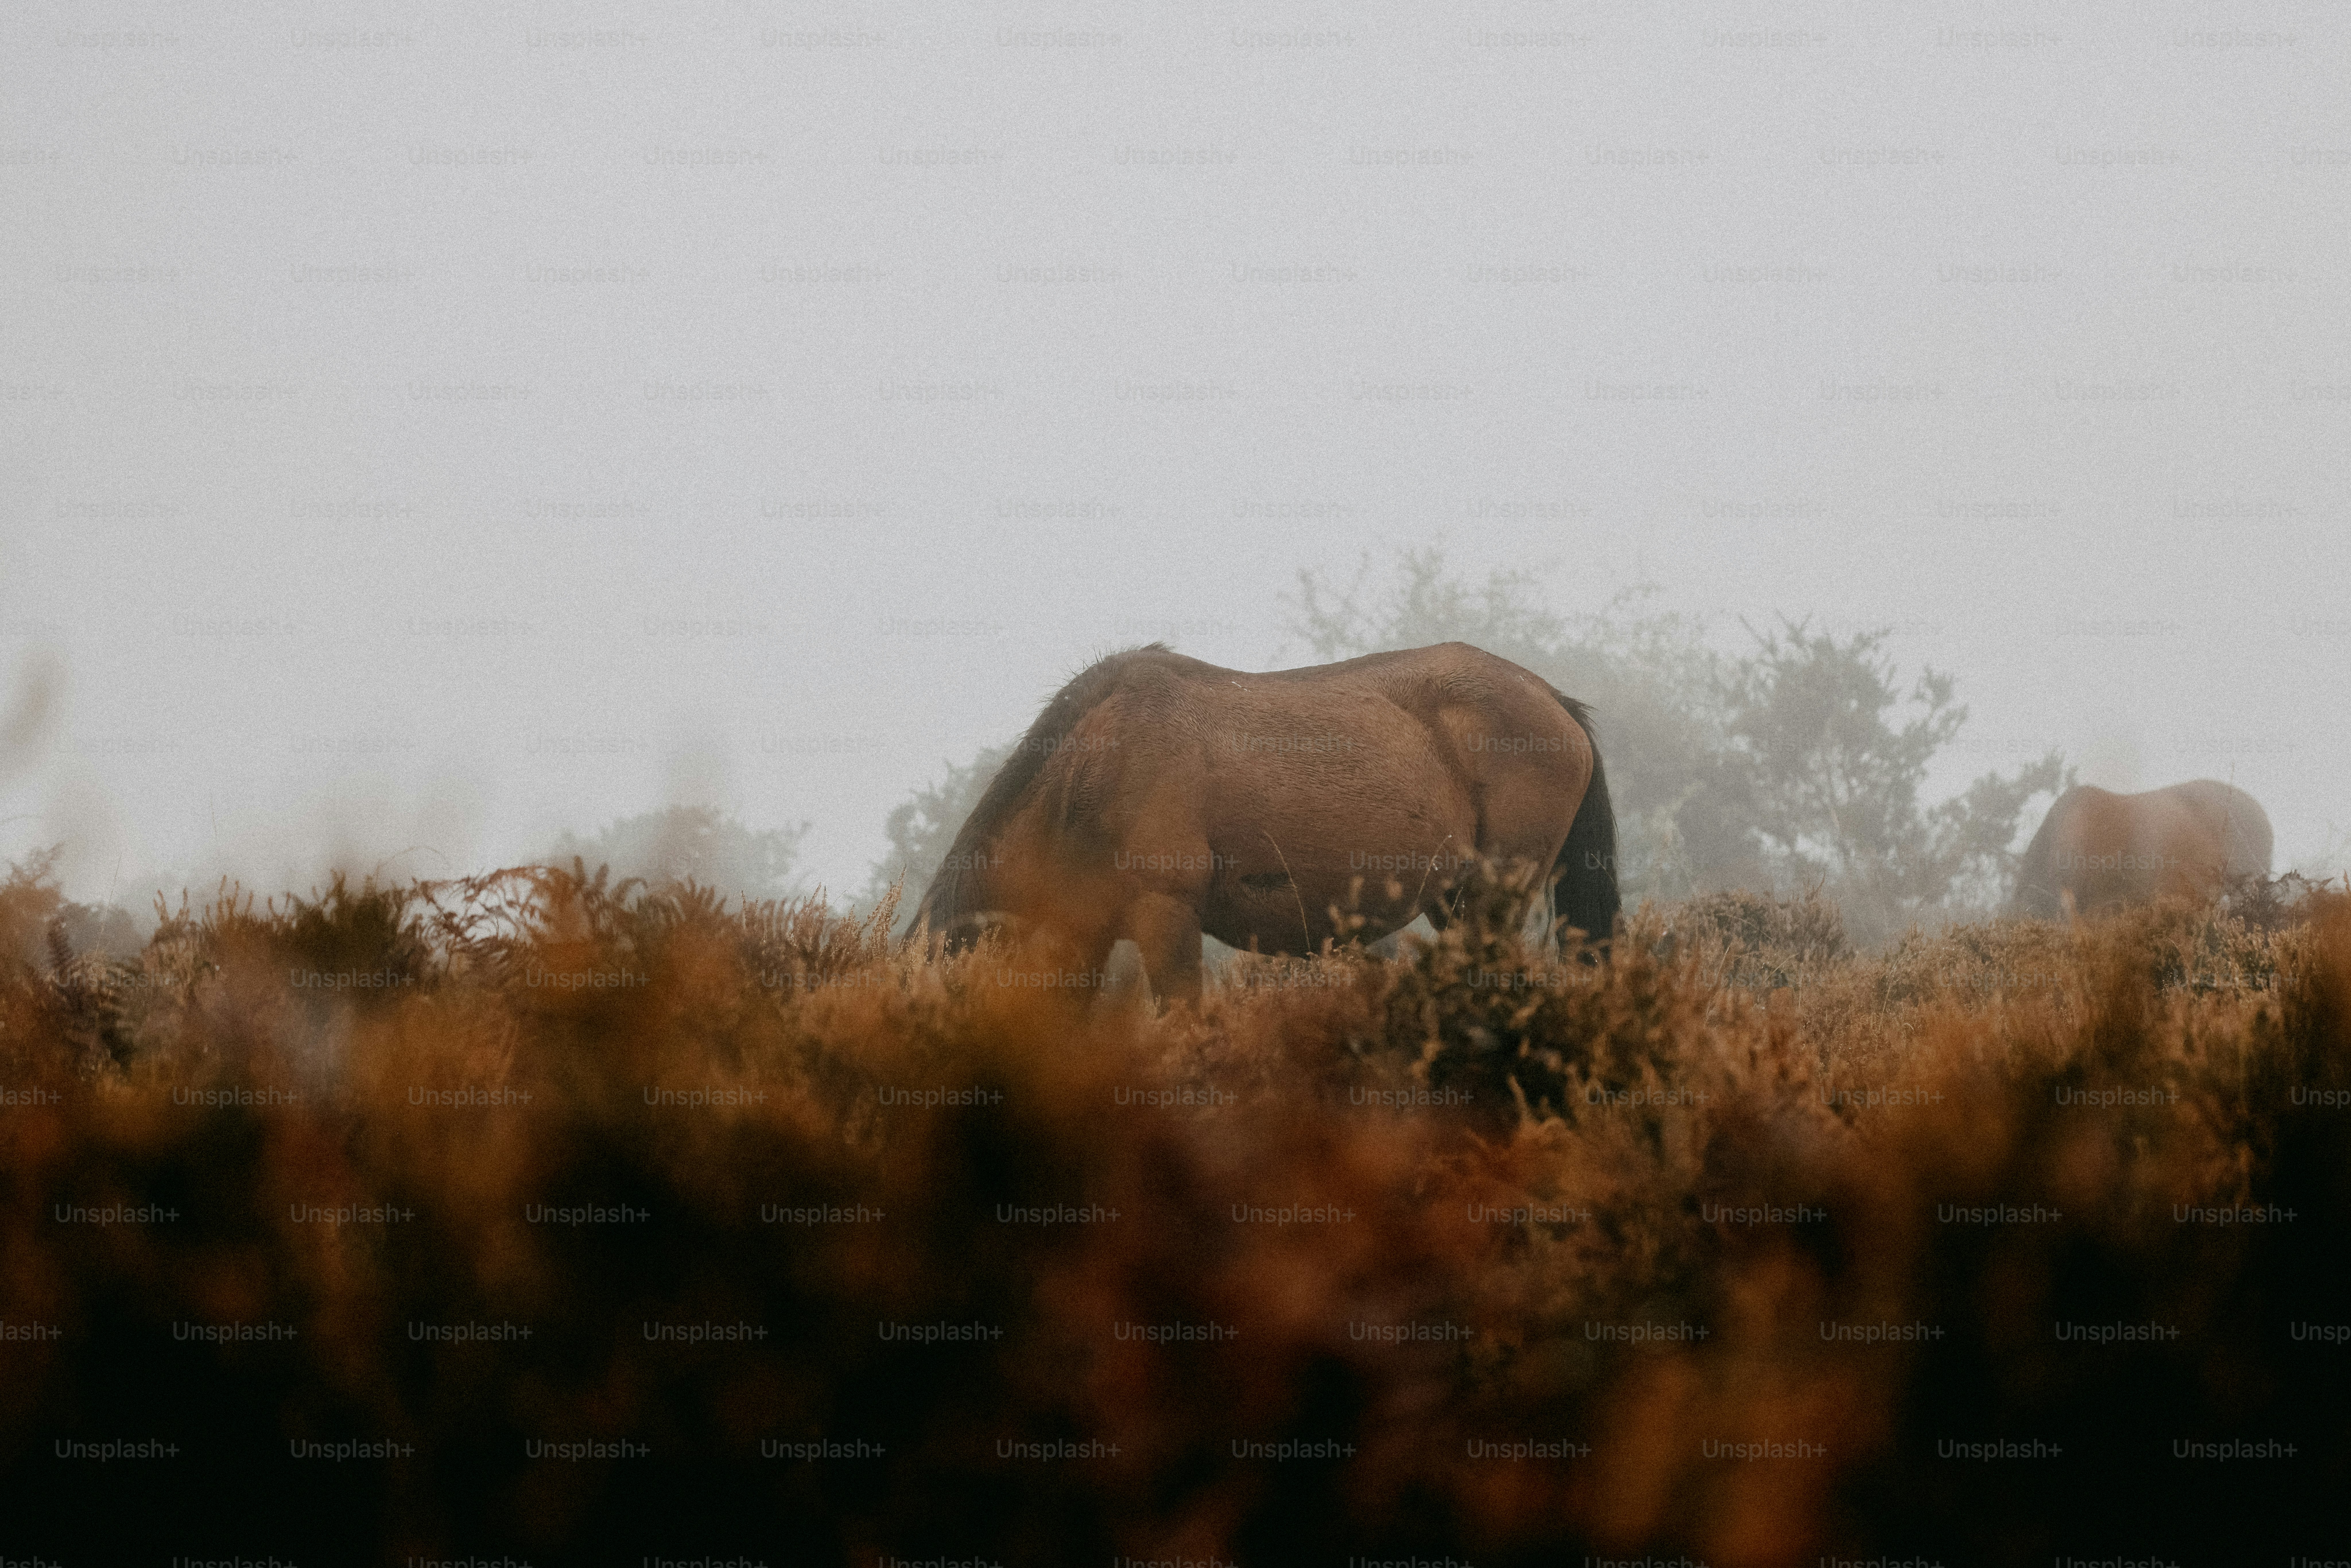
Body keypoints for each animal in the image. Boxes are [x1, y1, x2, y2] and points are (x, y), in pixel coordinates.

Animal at [914, 642, 1619, 1000]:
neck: (1090, 768)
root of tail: (1553, 698)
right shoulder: (1082, 936)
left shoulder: (1166, 915)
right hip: (1455, 902)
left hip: (1494, 898)